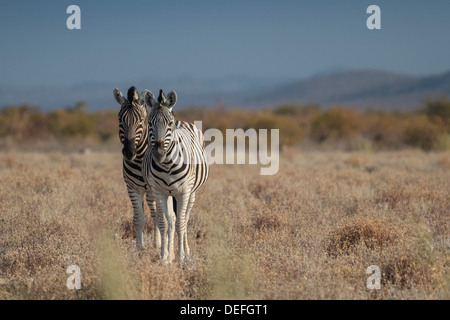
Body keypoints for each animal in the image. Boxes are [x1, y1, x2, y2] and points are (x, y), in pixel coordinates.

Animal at [113, 85, 161, 250]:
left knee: (156, 213)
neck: (139, 159)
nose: (129, 152)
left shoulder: (154, 188)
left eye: (141, 120)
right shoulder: (132, 188)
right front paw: (139, 248)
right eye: (120, 119)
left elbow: (157, 216)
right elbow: (138, 219)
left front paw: (158, 245)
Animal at [142, 88, 209, 262]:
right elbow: (164, 223)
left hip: (191, 193)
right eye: (149, 123)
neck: (167, 165)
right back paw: (170, 253)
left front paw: (180, 259)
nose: (159, 154)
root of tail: (182, 122)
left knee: (184, 219)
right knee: (171, 219)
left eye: (169, 124)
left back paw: (186, 253)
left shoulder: (183, 192)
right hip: (168, 193)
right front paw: (164, 257)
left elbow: (181, 223)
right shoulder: (158, 191)